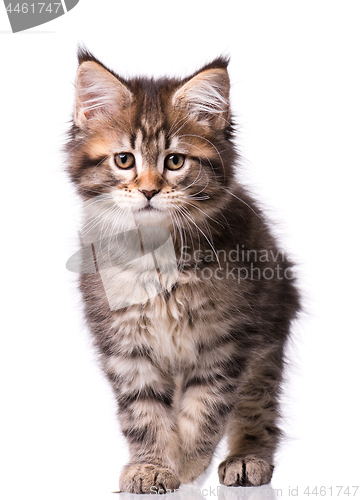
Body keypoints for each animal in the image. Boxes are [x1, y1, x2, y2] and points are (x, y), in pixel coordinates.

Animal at [66, 48, 300, 494]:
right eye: (124, 159)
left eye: (175, 161)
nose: (149, 189)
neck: (156, 256)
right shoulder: (126, 344)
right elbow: (143, 413)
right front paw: (153, 466)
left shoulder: (226, 338)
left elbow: (206, 406)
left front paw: (190, 462)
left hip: (268, 339)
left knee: (257, 408)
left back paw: (247, 458)